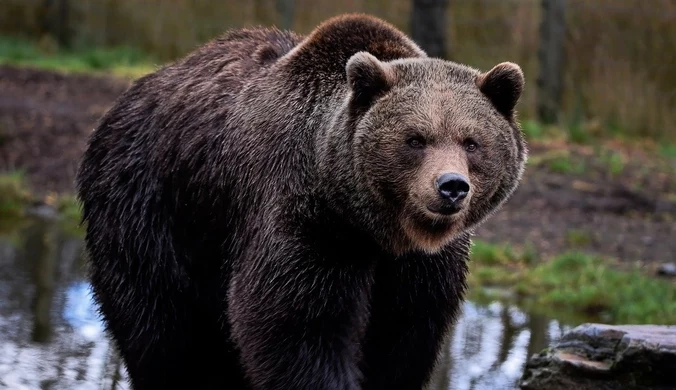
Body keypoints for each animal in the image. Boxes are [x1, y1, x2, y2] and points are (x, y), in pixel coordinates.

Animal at [75, 12, 528, 390]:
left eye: (472, 141)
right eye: (415, 139)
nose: (451, 186)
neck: (373, 227)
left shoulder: (420, 269)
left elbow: (403, 338)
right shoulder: (306, 221)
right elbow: (297, 327)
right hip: (151, 206)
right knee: (160, 328)